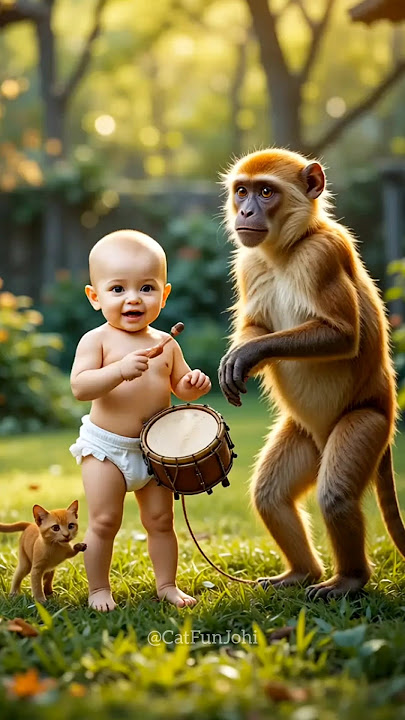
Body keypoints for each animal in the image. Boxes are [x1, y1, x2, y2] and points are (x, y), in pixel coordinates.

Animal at [218, 147, 405, 600]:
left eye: (266, 192)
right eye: (242, 191)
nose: (245, 211)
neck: (285, 252)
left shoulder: (322, 254)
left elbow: (342, 335)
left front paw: (248, 354)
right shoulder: (249, 262)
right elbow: (257, 324)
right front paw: (238, 354)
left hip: (368, 424)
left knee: (335, 493)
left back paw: (349, 580)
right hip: (305, 434)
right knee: (270, 495)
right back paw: (302, 573)